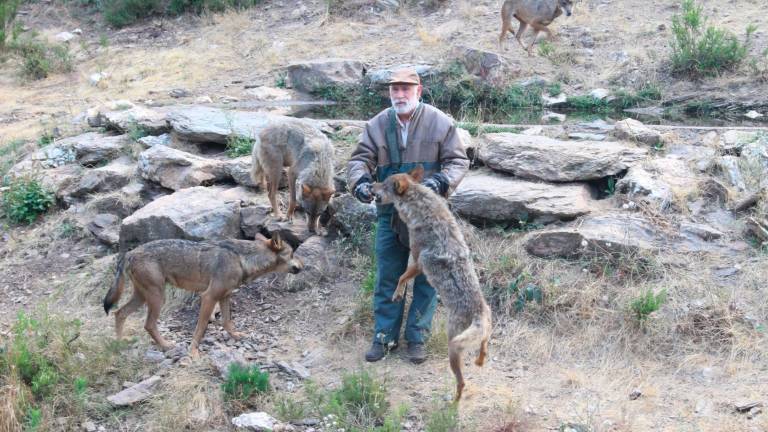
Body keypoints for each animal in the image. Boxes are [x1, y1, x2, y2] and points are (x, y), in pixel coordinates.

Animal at [101, 236, 304, 358]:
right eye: (293, 253)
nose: (303, 266)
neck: (242, 260)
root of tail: (129, 253)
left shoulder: (225, 296)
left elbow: (227, 322)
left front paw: (236, 336)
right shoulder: (208, 297)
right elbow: (200, 329)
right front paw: (193, 351)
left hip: (143, 296)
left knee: (119, 313)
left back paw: (119, 343)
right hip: (157, 297)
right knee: (148, 324)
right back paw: (166, 346)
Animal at [372, 165, 492, 402]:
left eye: (383, 183)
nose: (370, 186)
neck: (421, 208)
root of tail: (478, 311)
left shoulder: (419, 261)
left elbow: (401, 277)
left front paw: (396, 294)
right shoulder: (416, 263)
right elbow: (402, 277)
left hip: (453, 348)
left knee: (462, 383)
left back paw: (452, 405)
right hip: (479, 336)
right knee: (484, 346)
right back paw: (479, 361)